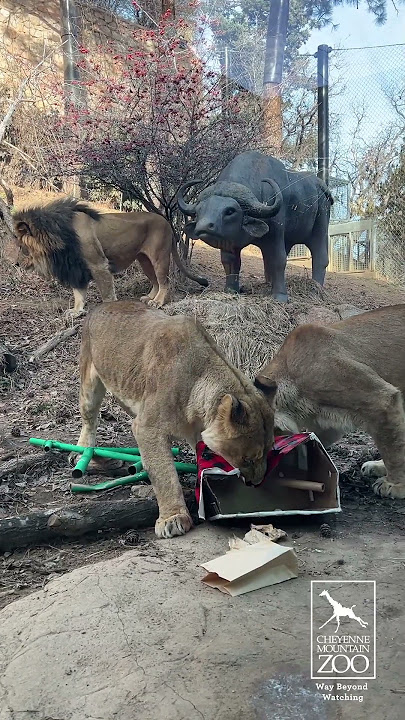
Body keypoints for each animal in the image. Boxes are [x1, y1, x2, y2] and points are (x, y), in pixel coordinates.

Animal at [13, 200, 208, 318]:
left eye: (21, 247)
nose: (15, 263)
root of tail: (167, 222)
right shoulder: (77, 268)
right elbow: (78, 293)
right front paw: (76, 311)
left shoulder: (98, 264)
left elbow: (106, 292)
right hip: (144, 260)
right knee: (155, 282)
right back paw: (149, 297)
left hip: (159, 257)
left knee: (164, 282)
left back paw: (157, 302)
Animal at [76, 296, 274, 536]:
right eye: (248, 459)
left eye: (269, 451)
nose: (256, 483)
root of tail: (104, 304)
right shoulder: (147, 427)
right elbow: (164, 473)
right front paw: (173, 518)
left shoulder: (193, 432)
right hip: (90, 382)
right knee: (89, 421)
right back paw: (87, 454)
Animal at [178, 149, 332, 300]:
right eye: (199, 210)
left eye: (230, 211)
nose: (203, 226)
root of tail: (321, 186)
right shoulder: (229, 244)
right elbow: (230, 262)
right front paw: (231, 290)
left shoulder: (275, 234)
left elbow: (278, 260)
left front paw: (280, 296)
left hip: (320, 227)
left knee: (320, 257)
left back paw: (316, 288)